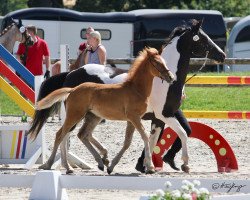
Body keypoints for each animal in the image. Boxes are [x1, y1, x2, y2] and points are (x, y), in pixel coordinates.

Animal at [28, 19, 226, 173]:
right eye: (203, 38)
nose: (222, 55)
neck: (163, 82)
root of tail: (71, 73)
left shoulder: (161, 117)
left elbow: (155, 139)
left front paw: (144, 165)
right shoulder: (164, 115)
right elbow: (182, 134)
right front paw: (184, 164)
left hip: (91, 115)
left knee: (79, 135)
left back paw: (99, 161)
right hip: (77, 114)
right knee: (65, 135)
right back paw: (63, 165)